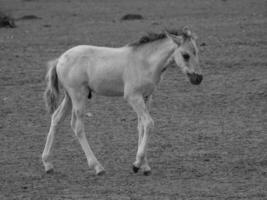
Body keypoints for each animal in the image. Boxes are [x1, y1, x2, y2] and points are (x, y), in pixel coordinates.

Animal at [42, 27, 203, 177]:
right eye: (185, 55)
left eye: (196, 52)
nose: (198, 78)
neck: (145, 62)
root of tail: (60, 59)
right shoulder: (133, 97)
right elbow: (149, 124)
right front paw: (137, 164)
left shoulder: (146, 97)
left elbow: (141, 127)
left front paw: (144, 166)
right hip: (78, 96)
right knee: (77, 126)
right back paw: (97, 167)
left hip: (69, 97)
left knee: (56, 119)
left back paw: (48, 163)